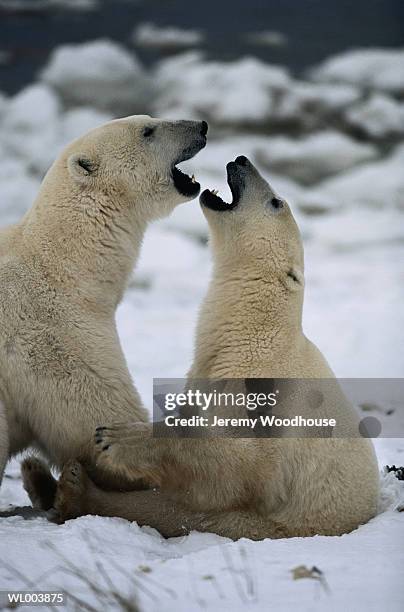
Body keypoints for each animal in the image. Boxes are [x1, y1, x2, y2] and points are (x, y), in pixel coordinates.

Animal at [0, 115, 207, 502]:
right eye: (148, 132)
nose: (201, 126)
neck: (64, 264)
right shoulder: (54, 338)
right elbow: (91, 421)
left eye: (150, 120)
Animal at [43, 155, 378, 536]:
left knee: (184, 512)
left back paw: (75, 490)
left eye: (276, 202)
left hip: (272, 526)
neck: (252, 335)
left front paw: (118, 437)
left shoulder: (263, 397)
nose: (242, 160)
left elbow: (235, 465)